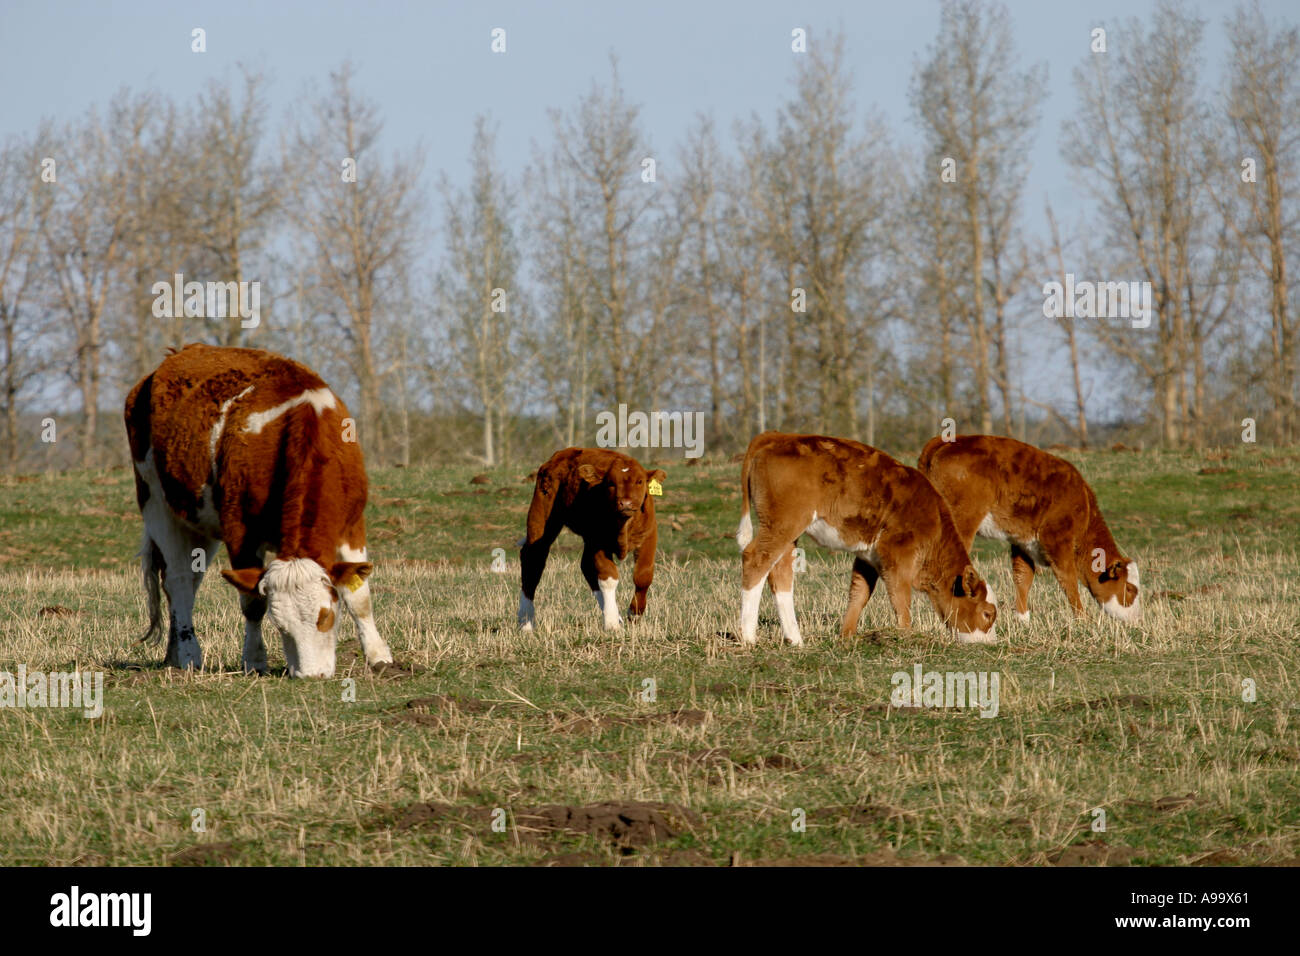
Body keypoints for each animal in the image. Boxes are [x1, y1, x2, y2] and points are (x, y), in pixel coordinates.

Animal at [124, 344, 393, 677]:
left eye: (326, 615)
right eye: (281, 626)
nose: (311, 675)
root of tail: (175, 355)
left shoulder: (353, 524)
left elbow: (359, 596)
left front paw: (379, 656)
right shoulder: (240, 531)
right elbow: (252, 603)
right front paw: (253, 659)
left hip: (198, 523)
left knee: (188, 579)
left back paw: (173, 653)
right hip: (156, 503)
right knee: (179, 579)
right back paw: (188, 654)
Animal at [517, 448, 666, 632]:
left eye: (639, 481)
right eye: (610, 483)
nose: (625, 503)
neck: (623, 525)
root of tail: (561, 453)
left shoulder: (649, 534)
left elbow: (643, 575)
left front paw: (634, 614)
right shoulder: (597, 541)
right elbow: (608, 576)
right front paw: (611, 623)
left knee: (586, 566)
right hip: (541, 514)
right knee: (533, 559)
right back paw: (526, 622)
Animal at [736, 432, 998, 645]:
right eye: (987, 614)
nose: (990, 644)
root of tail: (779, 436)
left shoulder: (868, 557)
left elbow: (859, 594)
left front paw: (847, 636)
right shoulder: (897, 555)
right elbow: (901, 599)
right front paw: (907, 637)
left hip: (788, 533)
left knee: (780, 572)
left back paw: (795, 639)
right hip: (782, 525)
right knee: (756, 560)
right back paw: (748, 637)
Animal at [918, 434, 1140, 623]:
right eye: (1130, 589)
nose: (1136, 619)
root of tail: (947, 441)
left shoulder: (1023, 542)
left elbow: (1023, 576)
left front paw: (1023, 618)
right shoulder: (1058, 540)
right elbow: (1068, 578)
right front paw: (1082, 619)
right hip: (962, 523)